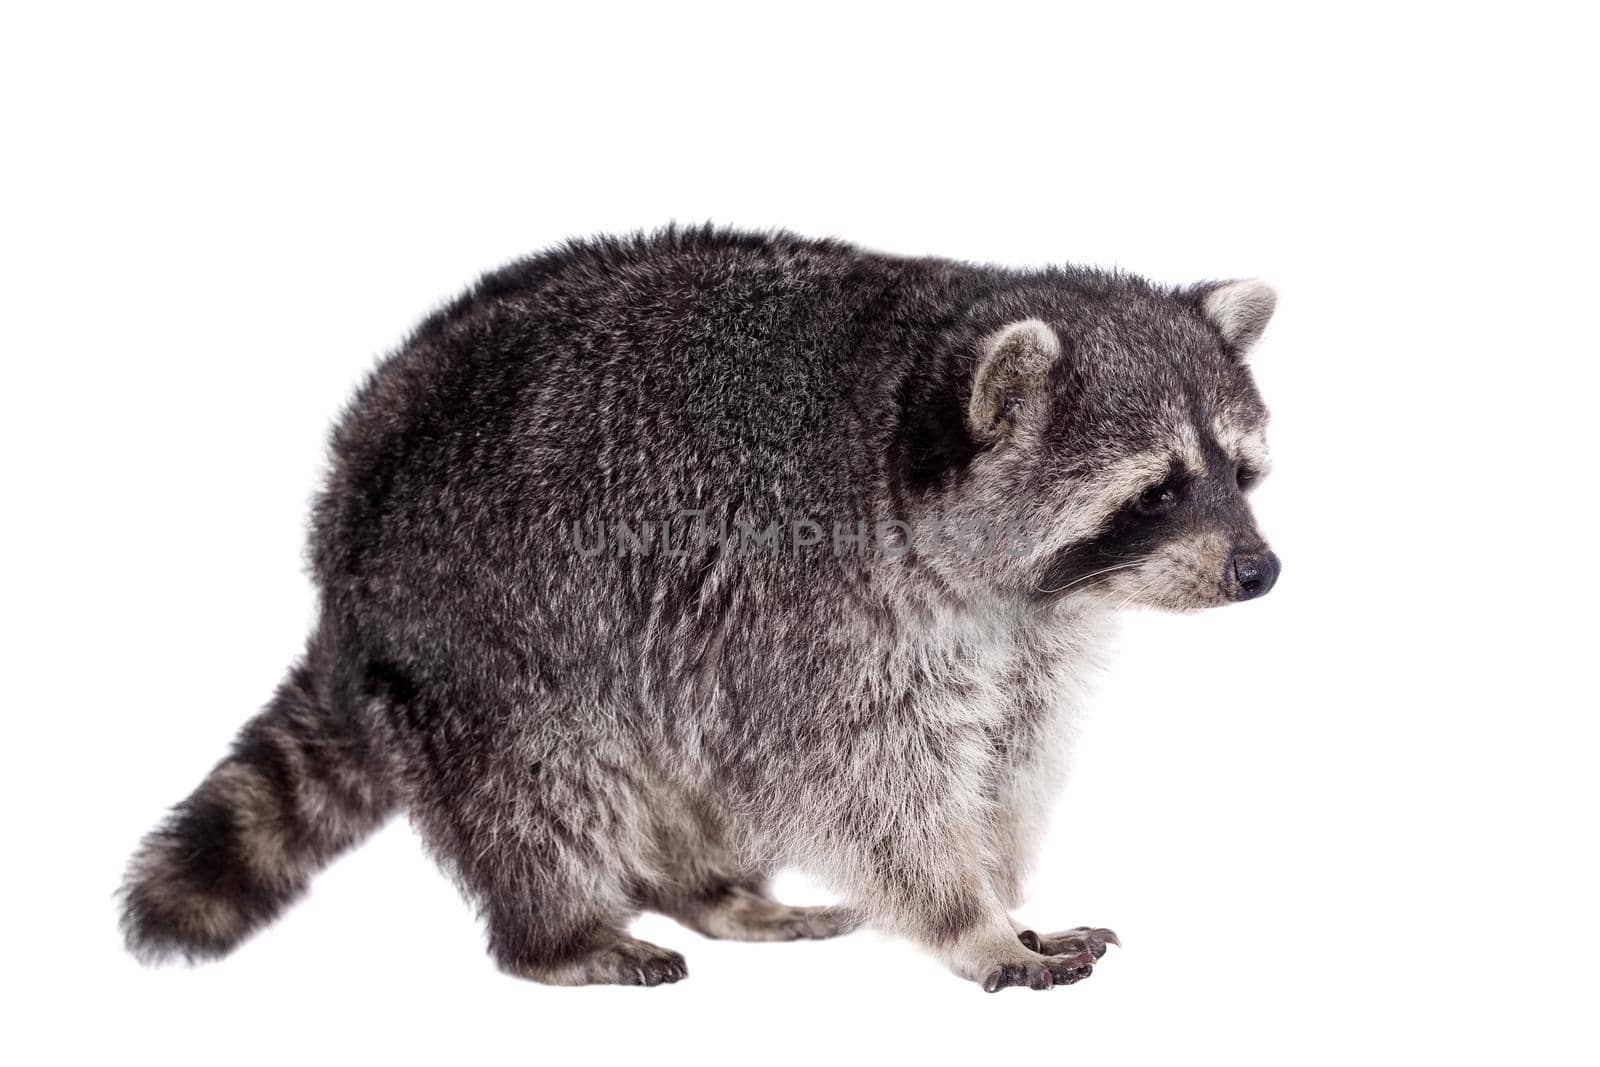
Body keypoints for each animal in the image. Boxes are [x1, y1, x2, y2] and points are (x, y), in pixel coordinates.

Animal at [118, 225, 1280, 991]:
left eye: (1242, 472)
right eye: (1156, 491)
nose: (1260, 570)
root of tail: (343, 509)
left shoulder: (1028, 627)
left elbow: (1007, 749)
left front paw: (1002, 887)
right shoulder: (819, 604)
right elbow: (866, 779)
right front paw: (970, 918)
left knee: (690, 766)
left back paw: (712, 888)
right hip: (478, 628)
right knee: (544, 783)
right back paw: (557, 932)